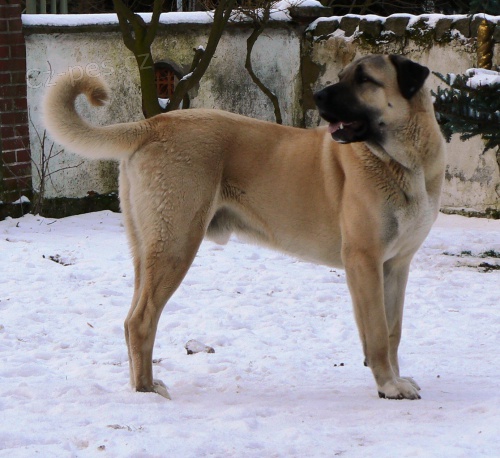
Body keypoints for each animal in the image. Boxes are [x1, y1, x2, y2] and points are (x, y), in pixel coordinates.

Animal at [43, 54, 445, 400]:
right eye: (344, 75)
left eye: (363, 79)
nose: (317, 95)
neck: (403, 162)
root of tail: (153, 124)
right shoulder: (365, 260)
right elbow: (376, 332)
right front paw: (389, 386)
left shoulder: (395, 266)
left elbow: (392, 332)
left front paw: (395, 378)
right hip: (176, 243)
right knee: (142, 320)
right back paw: (146, 390)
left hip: (148, 249)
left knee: (131, 319)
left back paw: (139, 383)